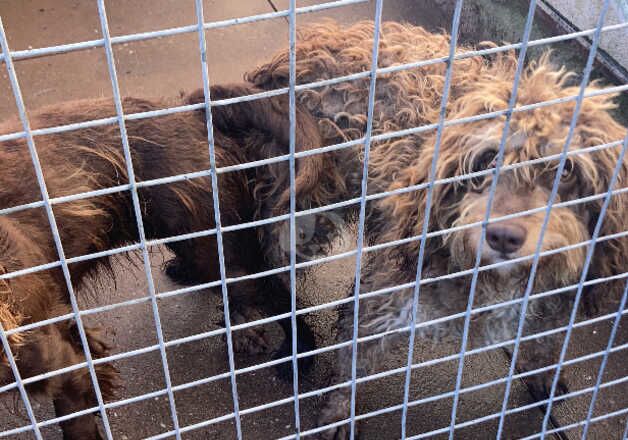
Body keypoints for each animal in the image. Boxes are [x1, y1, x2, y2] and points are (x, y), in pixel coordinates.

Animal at [0, 84, 336, 438]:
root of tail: (189, 109)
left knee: (274, 292)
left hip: (210, 249)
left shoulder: (62, 366)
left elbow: (77, 418)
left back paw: (297, 352)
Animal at [249, 19, 628, 436]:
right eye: (487, 160)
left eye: (565, 170)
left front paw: (541, 374)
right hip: (302, 205)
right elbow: (353, 361)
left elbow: (543, 340)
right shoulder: (383, 299)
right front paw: (339, 413)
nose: (503, 236)